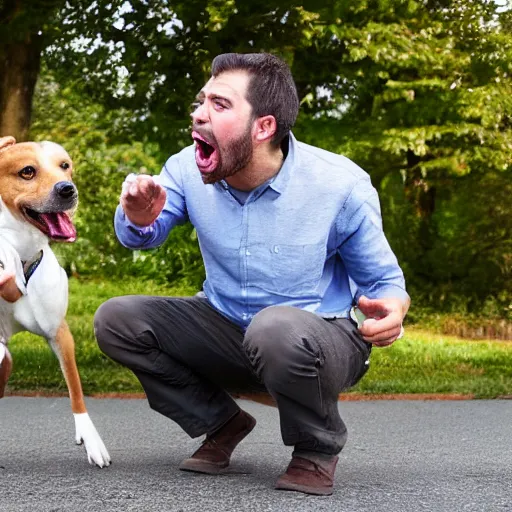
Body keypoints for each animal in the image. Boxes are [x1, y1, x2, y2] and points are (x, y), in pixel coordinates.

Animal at [0, 136, 111, 468]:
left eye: (65, 166)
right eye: (27, 171)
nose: (67, 189)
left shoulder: (59, 332)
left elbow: (75, 387)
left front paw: (91, 439)